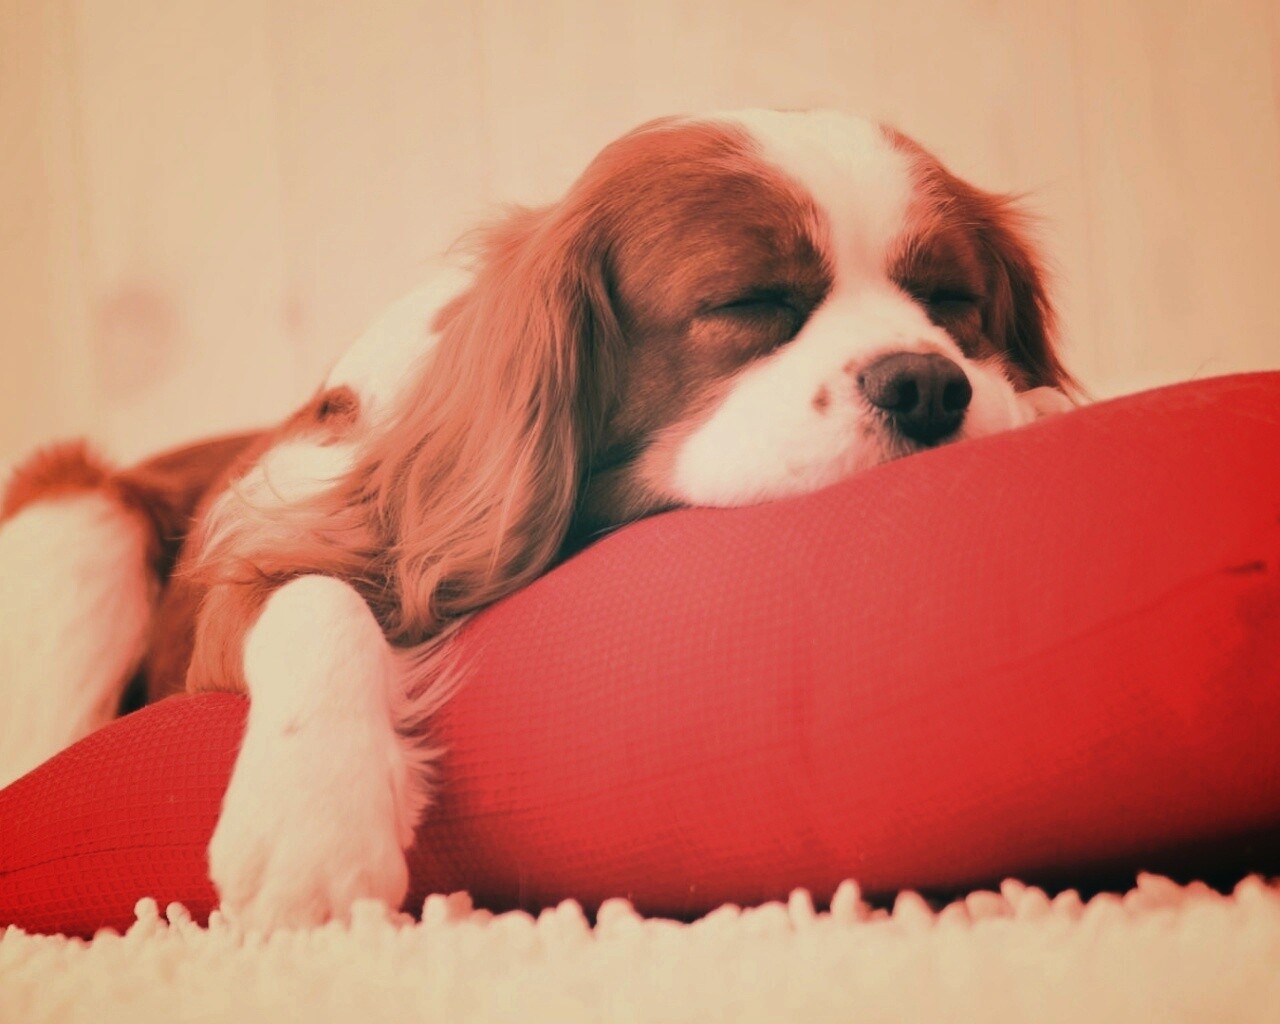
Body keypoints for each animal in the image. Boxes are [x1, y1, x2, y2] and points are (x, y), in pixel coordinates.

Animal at [0, 110, 1077, 930]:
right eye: (750, 303)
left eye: (950, 301)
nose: (928, 385)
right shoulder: (262, 560)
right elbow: (316, 600)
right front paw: (312, 821)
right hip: (76, 514)